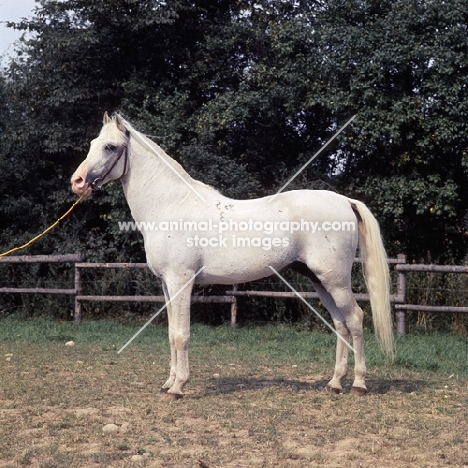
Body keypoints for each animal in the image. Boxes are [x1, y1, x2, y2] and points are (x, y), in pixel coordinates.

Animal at [71, 112, 394, 398]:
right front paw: (168, 383)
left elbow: (181, 335)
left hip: (335, 280)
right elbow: (171, 334)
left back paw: (359, 385)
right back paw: (335, 383)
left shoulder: (181, 282)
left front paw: (178, 388)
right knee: (340, 323)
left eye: (110, 147)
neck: (170, 206)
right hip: (318, 280)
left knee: (355, 319)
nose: (77, 181)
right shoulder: (166, 285)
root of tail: (345, 200)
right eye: (93, 142)